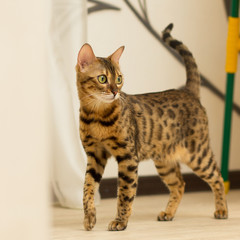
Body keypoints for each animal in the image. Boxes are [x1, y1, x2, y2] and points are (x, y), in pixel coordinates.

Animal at [76, 23, 228, 231]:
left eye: (119, 79)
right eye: (102, 79)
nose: (115, 92)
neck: (96, 116)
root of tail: (188, 91)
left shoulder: (128, 157)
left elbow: (125, 193)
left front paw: (120, 221)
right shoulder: (94, 155)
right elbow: (87, 188)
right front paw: (89, 218)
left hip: (198, 153)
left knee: (217, 177)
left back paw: (222, 210)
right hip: (165, 161)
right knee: (180, 184)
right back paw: (168, 213)